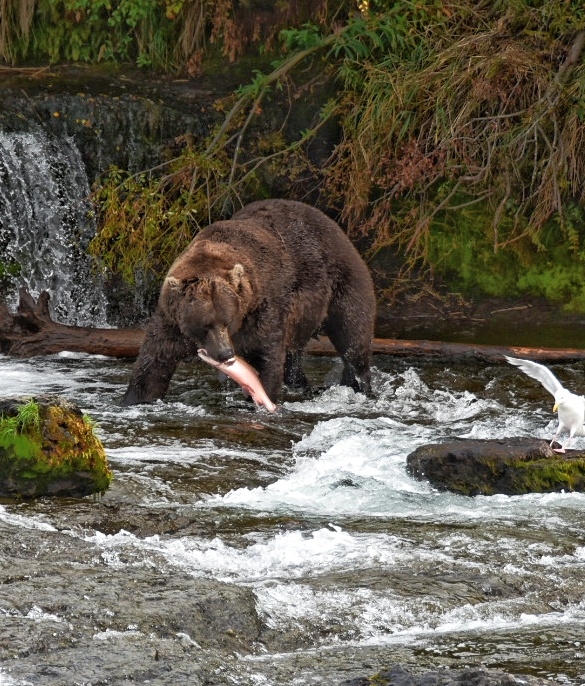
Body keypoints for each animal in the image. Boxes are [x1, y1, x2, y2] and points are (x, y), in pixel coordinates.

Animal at [121, 198, 376, 408]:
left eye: (228, 320)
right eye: (205, 324)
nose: (225, 353)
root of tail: (336, 227)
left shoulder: (265, 311)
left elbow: (266, 359)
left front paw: (260, 397)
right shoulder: (171, 324)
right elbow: (153, 365)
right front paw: (135, 398)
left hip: (343, 282)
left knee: (352, 335)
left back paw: (358, 385)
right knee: (293, 357)